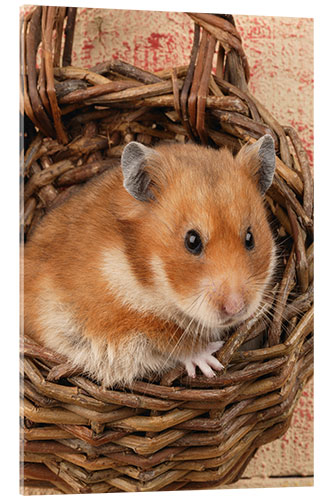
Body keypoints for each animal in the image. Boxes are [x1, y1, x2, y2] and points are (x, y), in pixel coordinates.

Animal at [24, 136, 274, 386]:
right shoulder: (118, 319)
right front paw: (211, 365)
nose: (235, 308)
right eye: (192, 240)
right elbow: (174, 339)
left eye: (250, 238)